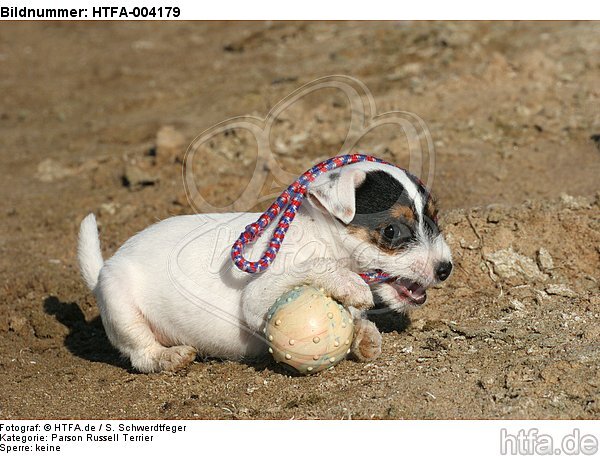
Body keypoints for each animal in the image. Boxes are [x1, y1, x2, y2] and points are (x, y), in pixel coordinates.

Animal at [77, 159, 452, 370]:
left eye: (435, 217)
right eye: (391, 231)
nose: (445, 268)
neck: (320, 233)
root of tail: (103, 269)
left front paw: (363, 334)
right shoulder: (256, 298)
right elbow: (310, 266)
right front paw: (349, 284)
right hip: (120, 305)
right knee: (139, 353)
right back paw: (167, 357)